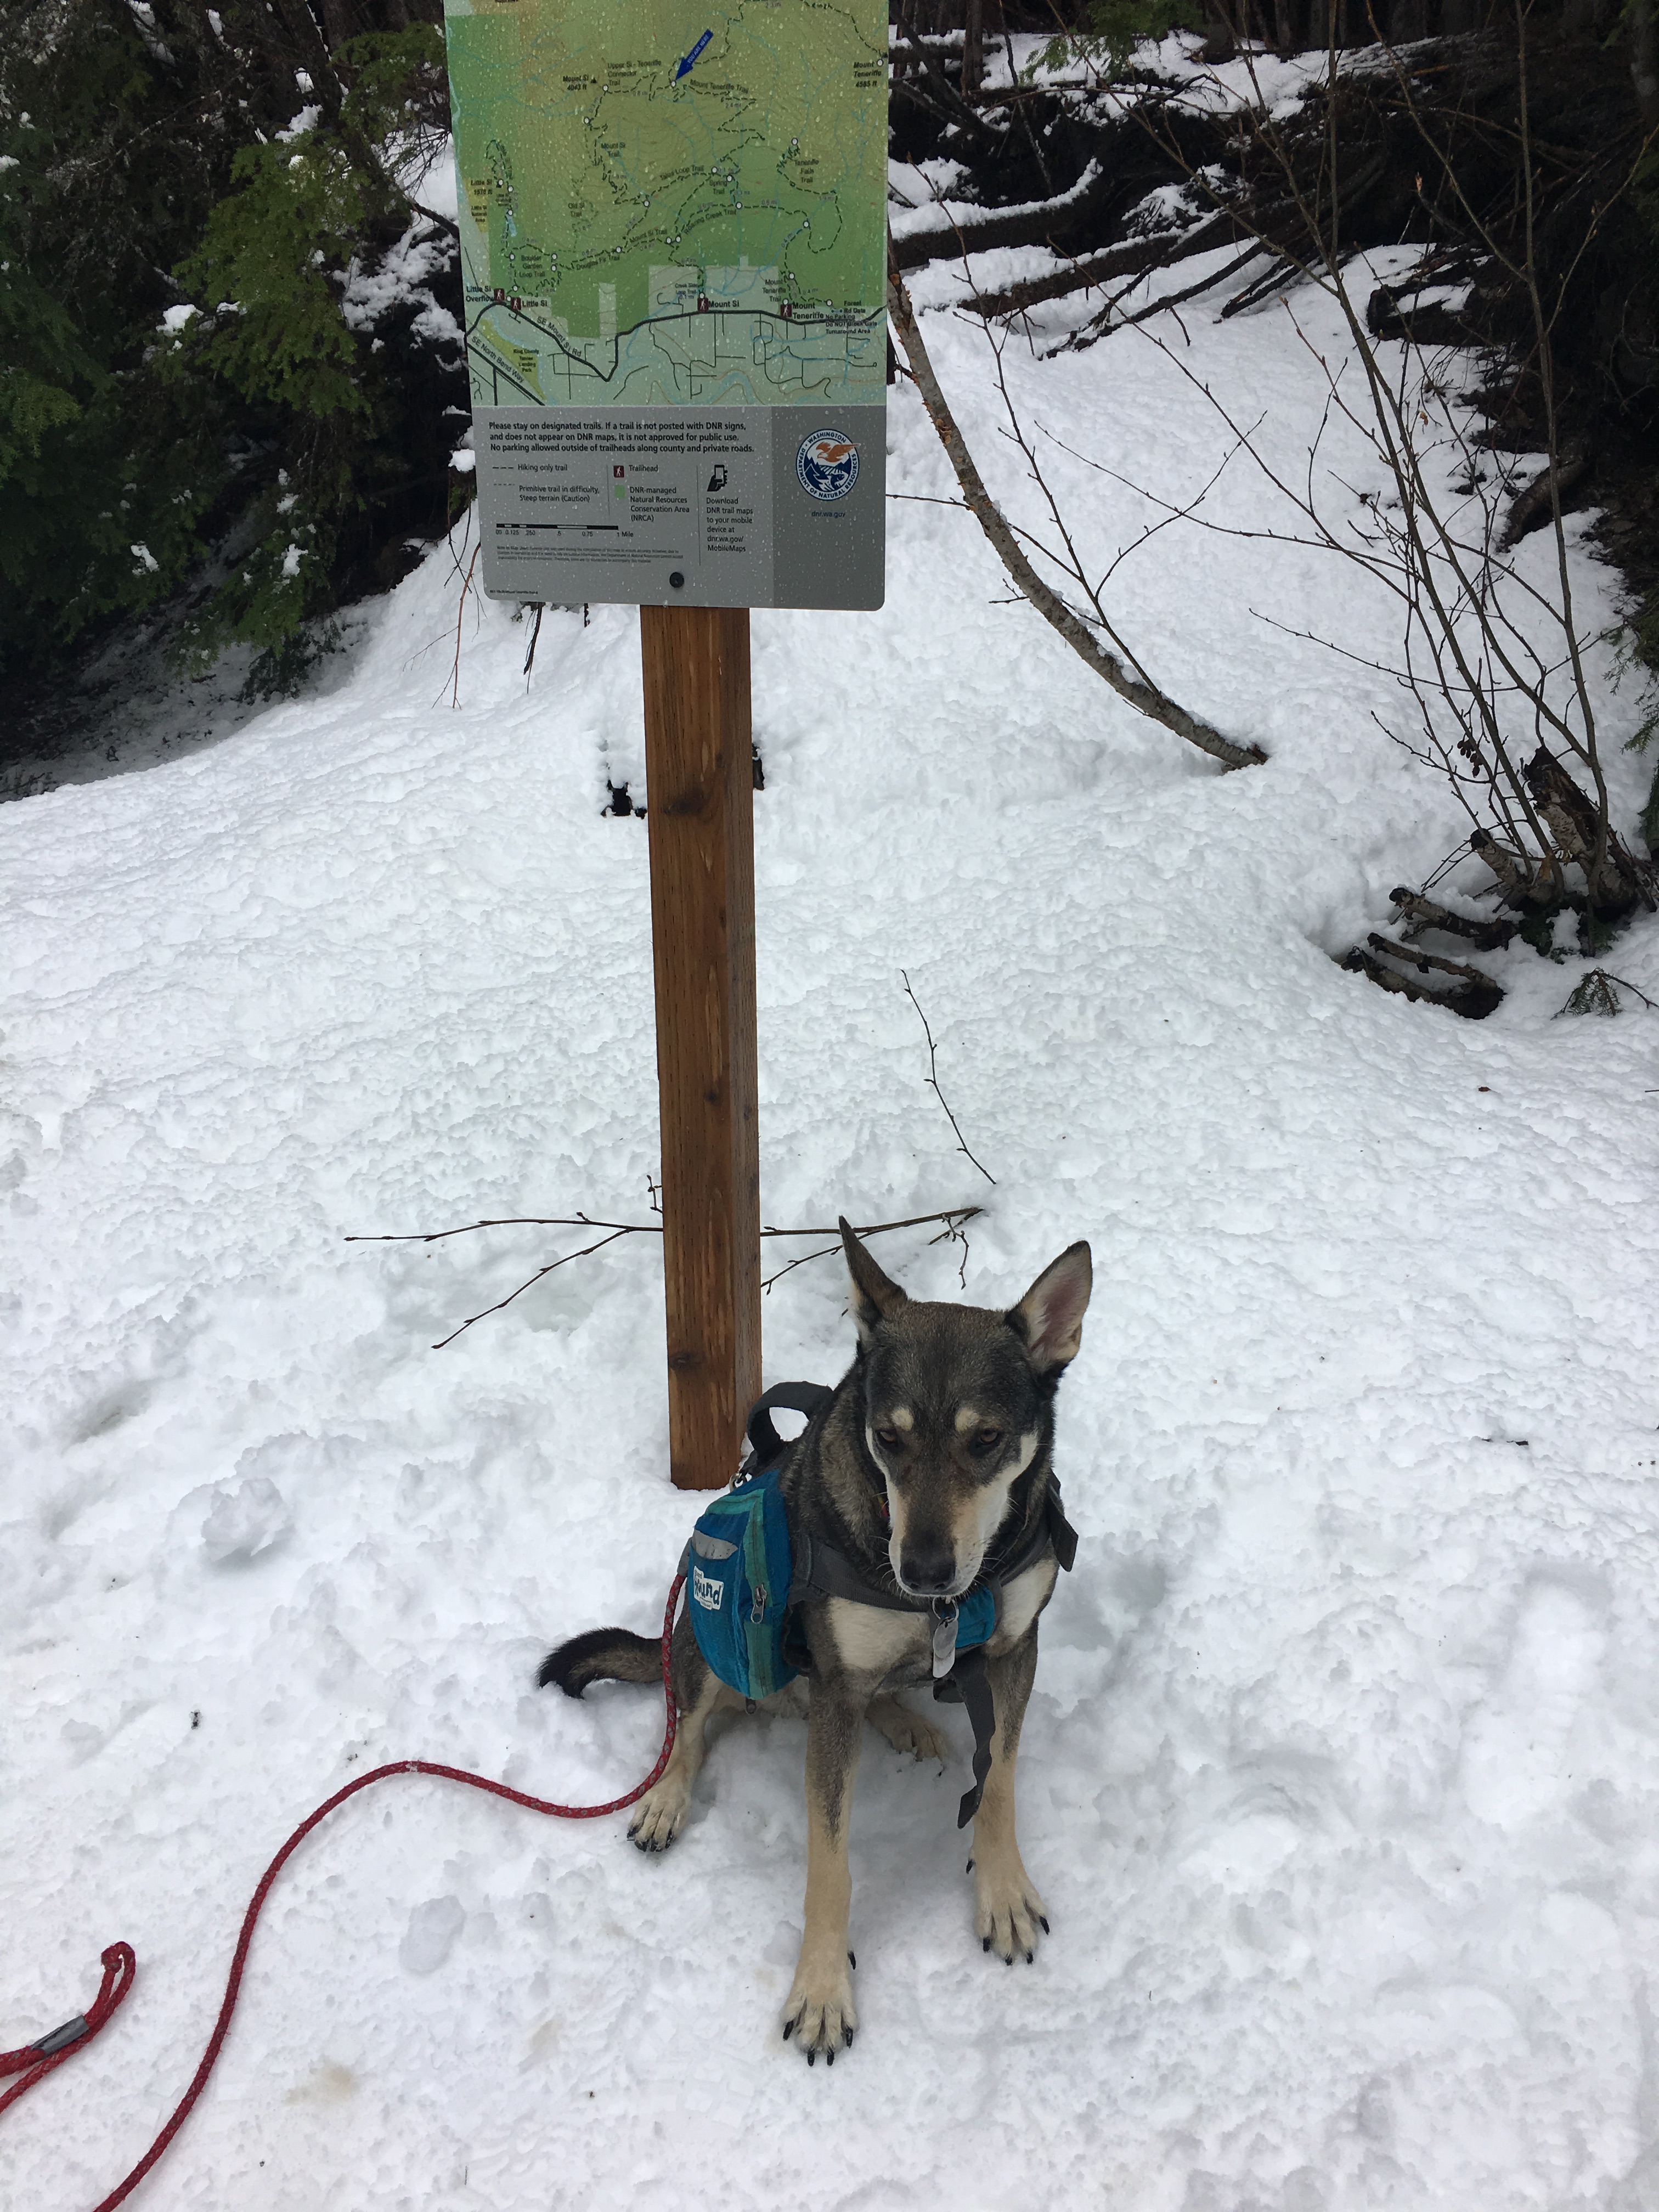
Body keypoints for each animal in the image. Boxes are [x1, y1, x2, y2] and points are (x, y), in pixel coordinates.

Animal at [539, 1218, 1092, 2063]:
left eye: (987, 1439)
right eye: (888, 1438)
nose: (923, 1570)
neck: (949, 1604)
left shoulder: (1012, 1653)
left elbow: (997, 1783)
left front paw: (1002, 1895)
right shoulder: (836, 1697)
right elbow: (829, 1865)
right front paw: (824, 1991)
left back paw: (906, 1721)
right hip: (711, 1635)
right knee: (687, 1728)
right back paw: (665, 1800)